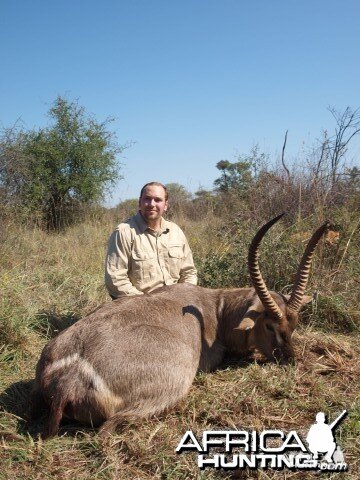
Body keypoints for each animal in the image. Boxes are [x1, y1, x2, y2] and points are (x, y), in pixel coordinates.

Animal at [30, 215, 330, 438]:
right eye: (269, 325)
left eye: (294, 324)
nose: (290, 359)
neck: (217, 308)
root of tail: (71, 374)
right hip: (175, 380)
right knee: (108, 428)